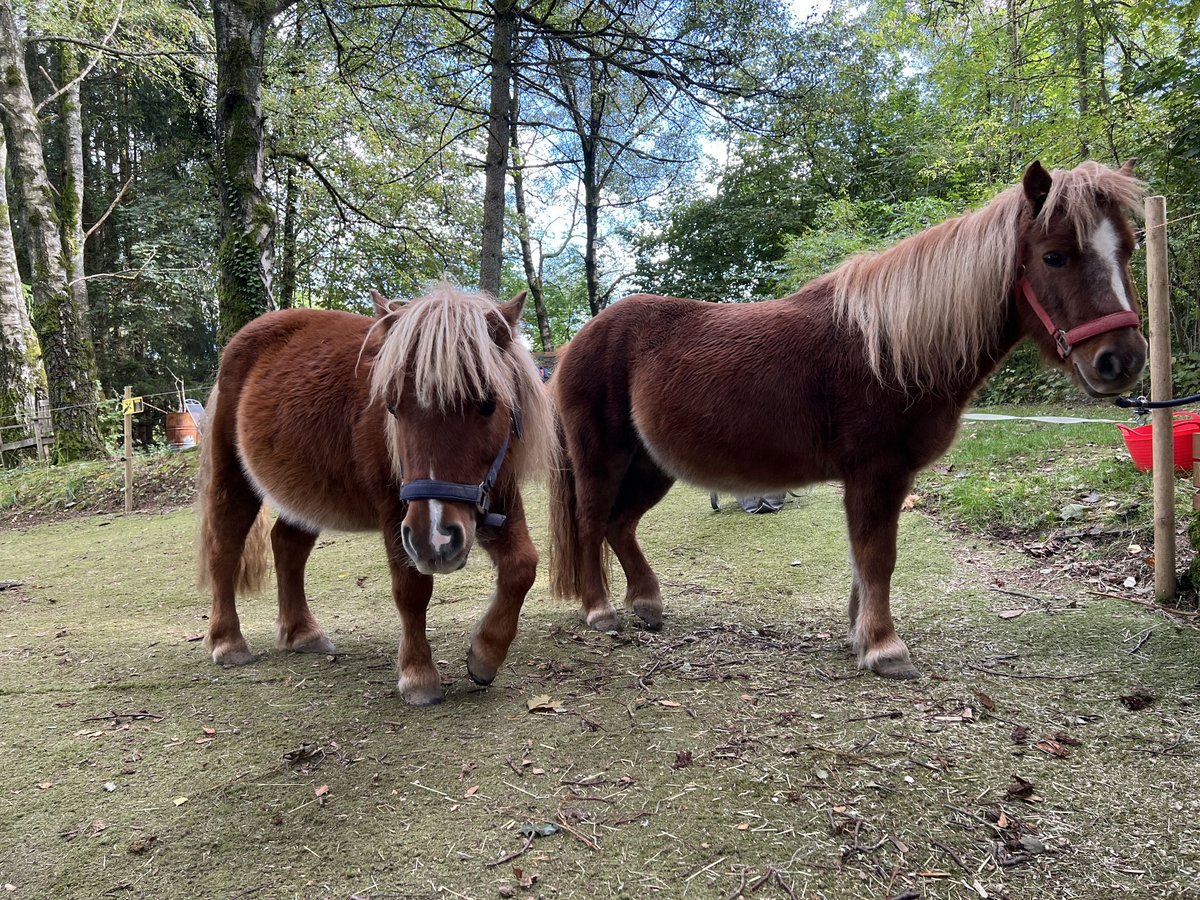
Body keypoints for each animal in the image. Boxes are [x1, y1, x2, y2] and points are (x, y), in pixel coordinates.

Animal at [195, 285, 552, 710]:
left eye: (487, 403)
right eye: (393, 406)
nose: (436, 539)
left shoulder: (497, 495)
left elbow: (522, 567)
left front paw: (484, 654)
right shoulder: (398, 515)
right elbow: (412, 590)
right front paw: (418, 674)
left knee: (287, 546)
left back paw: (301, 633)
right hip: (234, 479)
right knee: (224, 548)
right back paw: (227, 641)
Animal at [549, 158, 1147, 681]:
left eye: (1130, 247)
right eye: (1054, 257)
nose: (1122, 360)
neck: (891, 348)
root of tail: (576, 342)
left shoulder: (878, 478)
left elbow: (864, 561)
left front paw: (860, 635)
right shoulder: (877, 472)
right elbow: (878, 557)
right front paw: (885, 648)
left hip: (652, 466)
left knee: (621, 525)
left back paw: (647, 604)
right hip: (602, 459)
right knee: (592, 522)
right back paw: (601, 612)